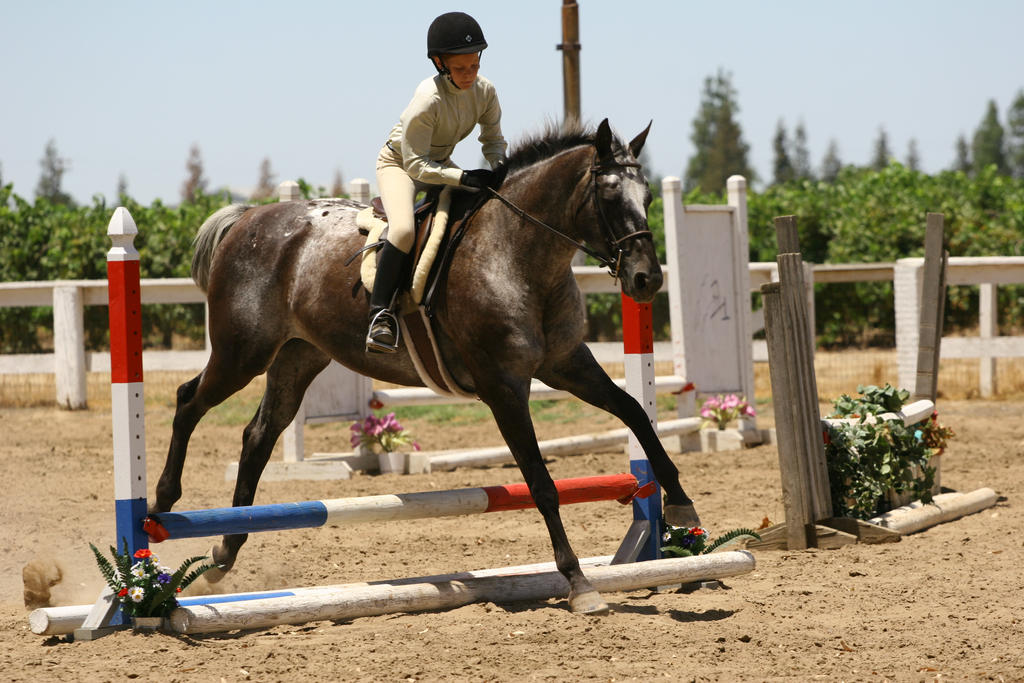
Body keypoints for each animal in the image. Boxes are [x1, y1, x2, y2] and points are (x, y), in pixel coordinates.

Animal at [151, 120, 696, 618]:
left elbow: (634, 412)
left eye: (649, 195)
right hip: (242, 352)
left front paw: (681, 506)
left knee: (259, 434)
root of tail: (249, 217)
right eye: (608, 194)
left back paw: (225, 549)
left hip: (299, 356)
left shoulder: (567, 363)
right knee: (188, 401)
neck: (518, 254)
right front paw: (579, 582)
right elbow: (541, 483)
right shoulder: (503, 387)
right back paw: (159, 510)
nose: (646, 280)